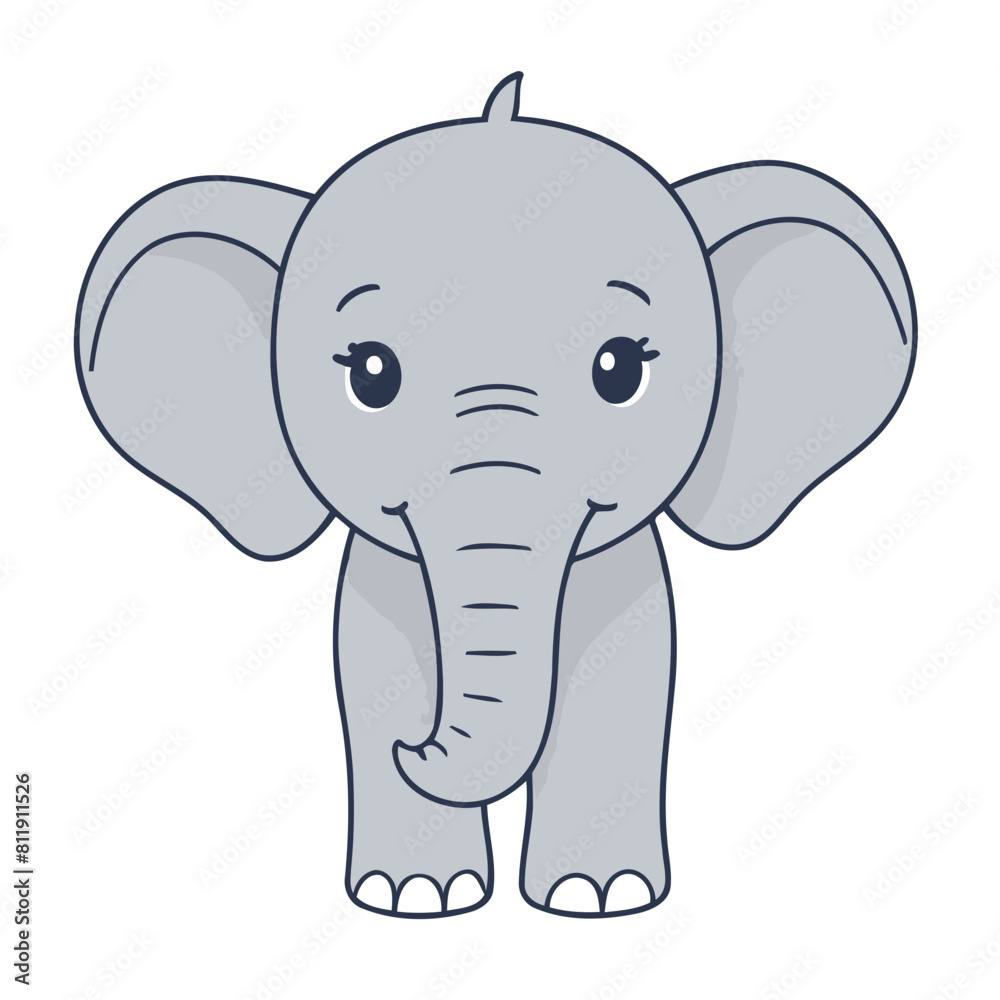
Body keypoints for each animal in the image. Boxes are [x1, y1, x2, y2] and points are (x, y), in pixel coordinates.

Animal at [75, 72, 916, 918]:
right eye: (370, 375)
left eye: (620, 370)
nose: (414, 744)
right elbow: (374, 670)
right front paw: (413, 897)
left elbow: (622, 682)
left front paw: (597, 897)